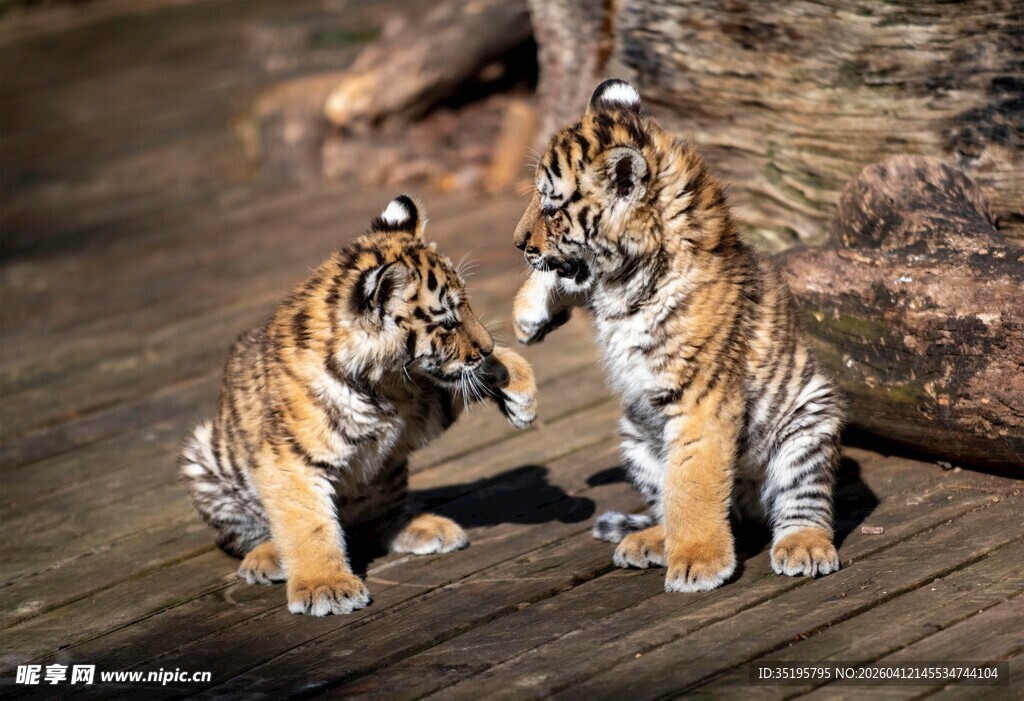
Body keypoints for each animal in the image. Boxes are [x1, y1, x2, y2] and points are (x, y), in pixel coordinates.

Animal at [180, 195, 538, 615]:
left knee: (377, 523)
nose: (486, 347)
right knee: (248, 536)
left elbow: (453, 384)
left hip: (388, 474)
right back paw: (267, 559)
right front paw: (326, 587)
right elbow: (309, 525)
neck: (381, 382)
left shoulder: (418, 408)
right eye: (448, 322)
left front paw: (517, 385)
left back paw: (425, 528)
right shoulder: (291, 461)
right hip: (204, 460)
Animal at [511, 79, 843, 592]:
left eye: (551, 206)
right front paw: (529, 315)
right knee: (664, 500)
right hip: (636, 437)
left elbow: (692, 483)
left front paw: (699, 564)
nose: (517, 243)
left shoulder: (700, 398)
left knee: (802, 503)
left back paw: (803, 546)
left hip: (807, 421)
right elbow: (567, 275)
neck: (625, 280)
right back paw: (650, 540)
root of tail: (746, 509)